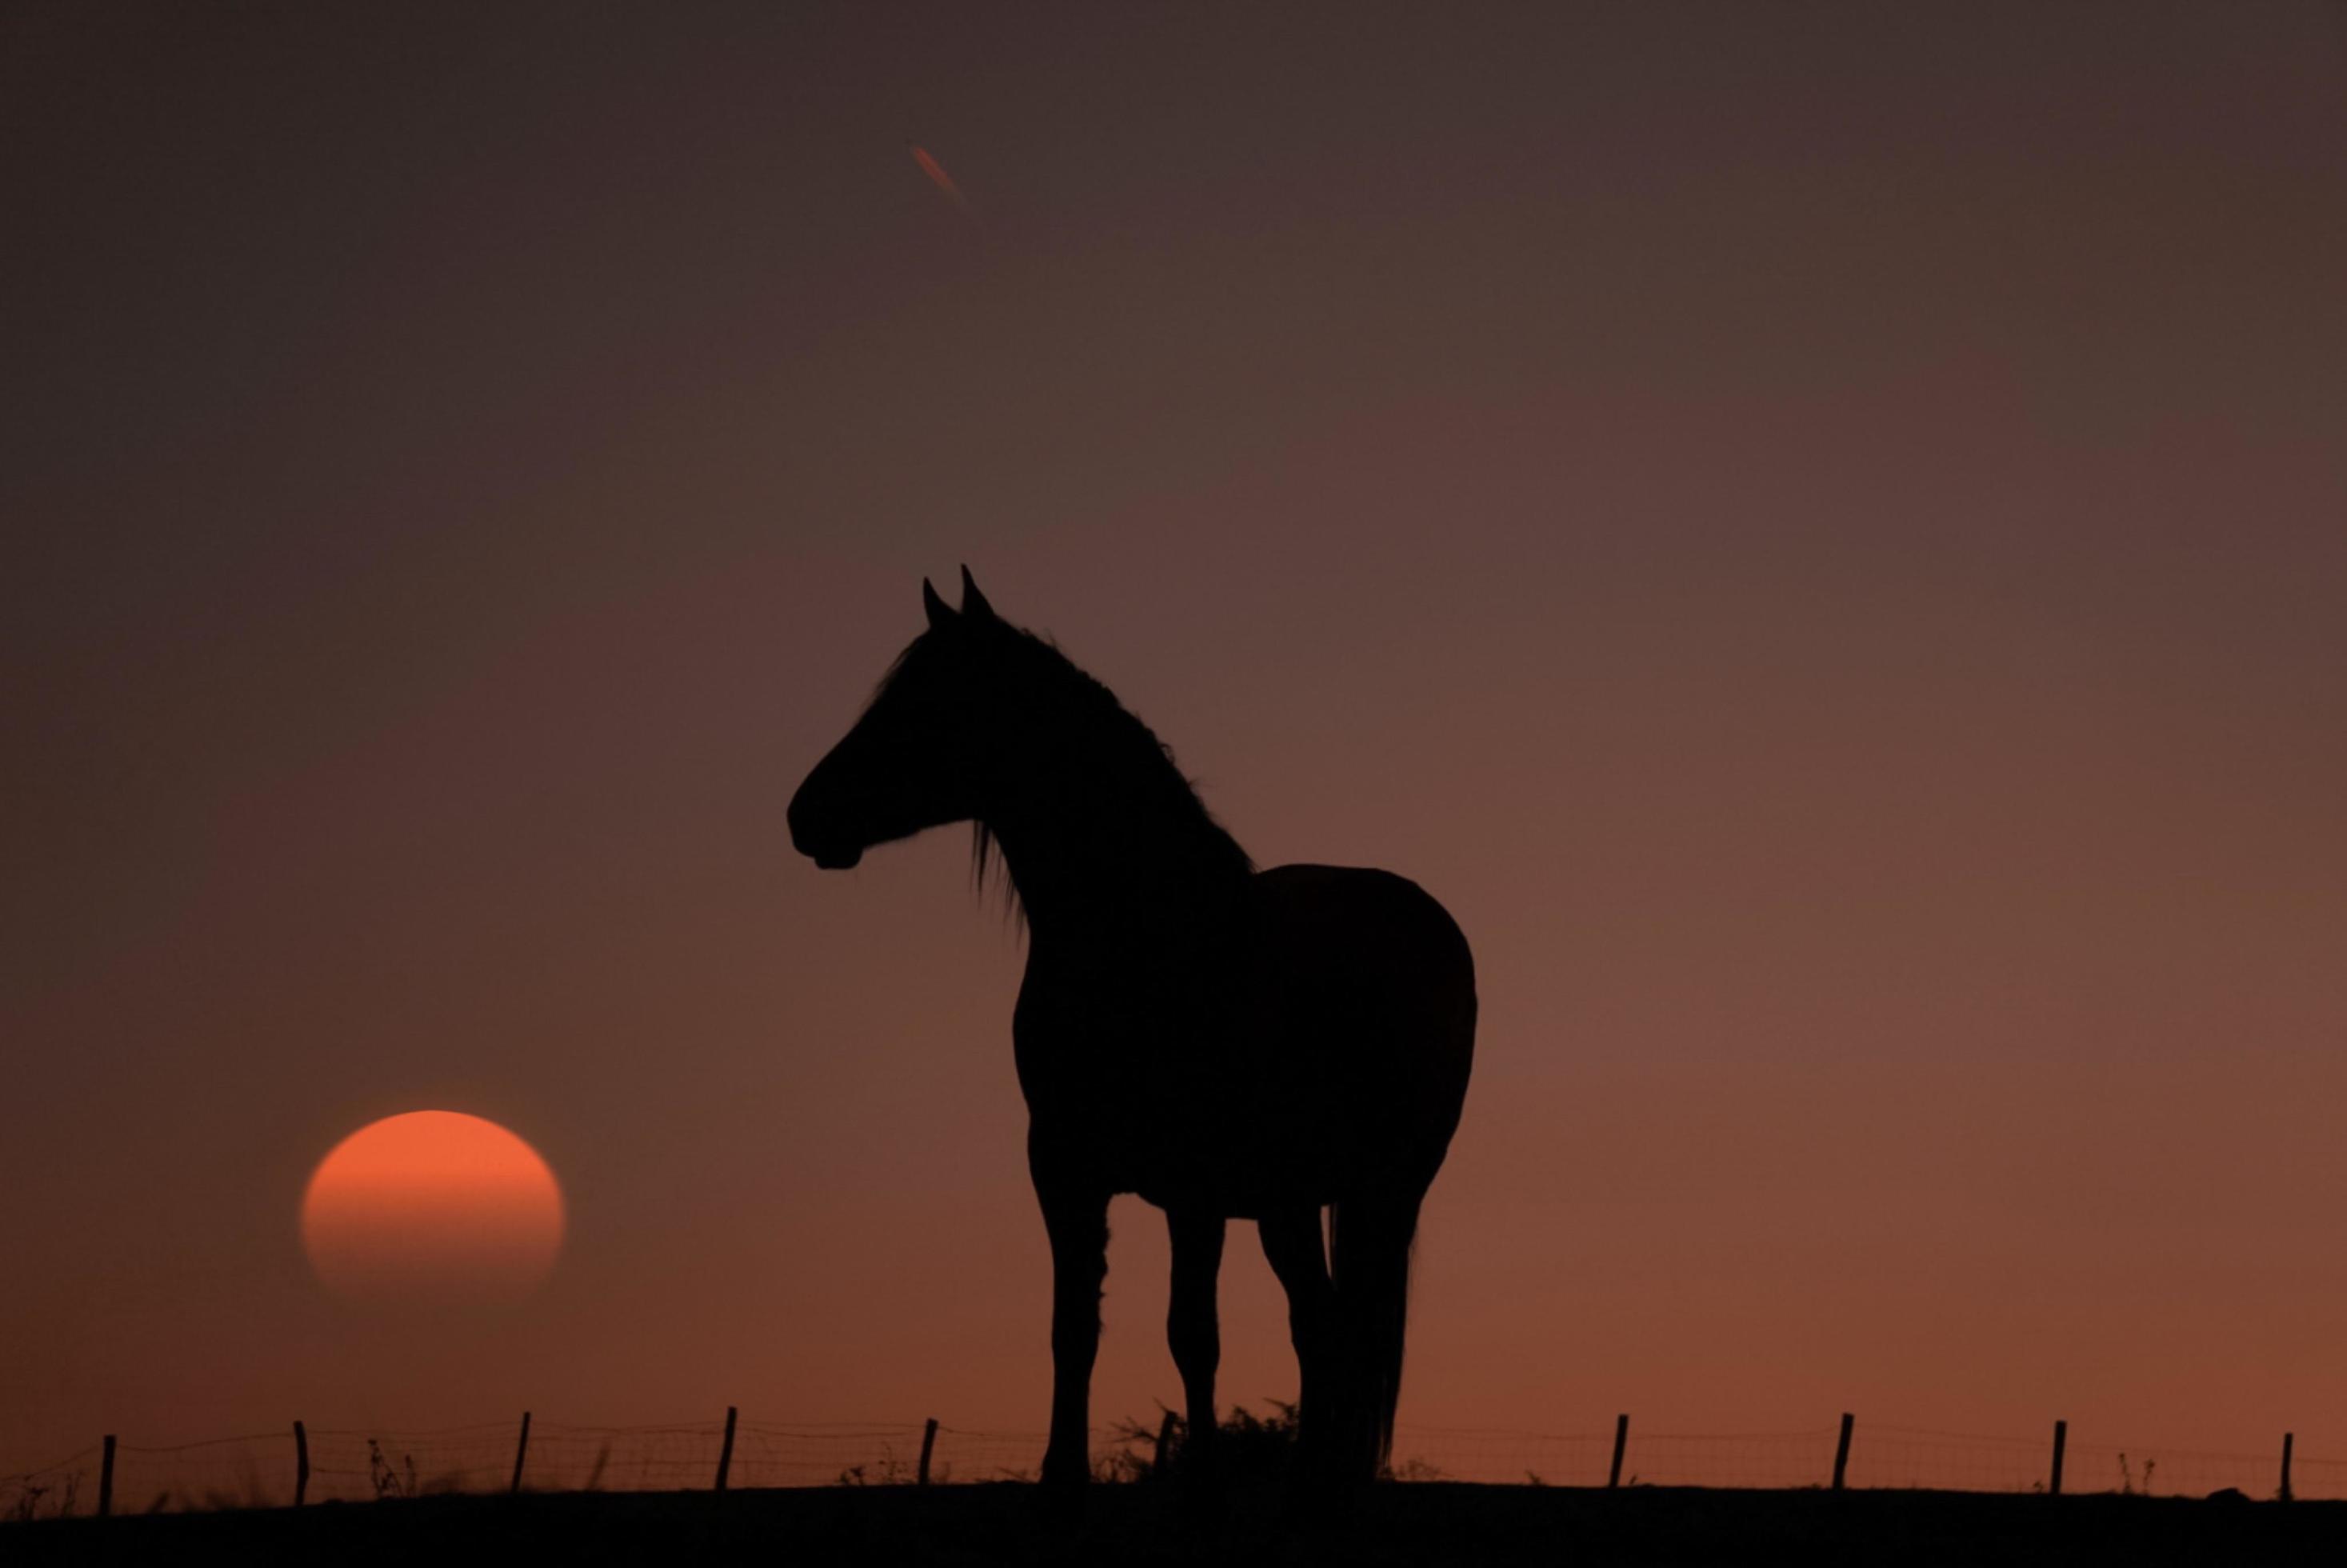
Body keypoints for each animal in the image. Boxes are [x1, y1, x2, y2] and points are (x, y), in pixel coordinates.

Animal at [798, 570, 1473, 1493]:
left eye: (921, 703)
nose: (803, 816)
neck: (1152, 940)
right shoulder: (1062, 1167)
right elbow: (1073, 1326)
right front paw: (1062, 1470)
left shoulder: (1195, 1186)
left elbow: (1194, 1335)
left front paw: (1203, 1475)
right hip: (1292, 1203)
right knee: (1321, 1324)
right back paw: (1310, 1468)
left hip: (1386, 1188)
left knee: (1351, 1326)